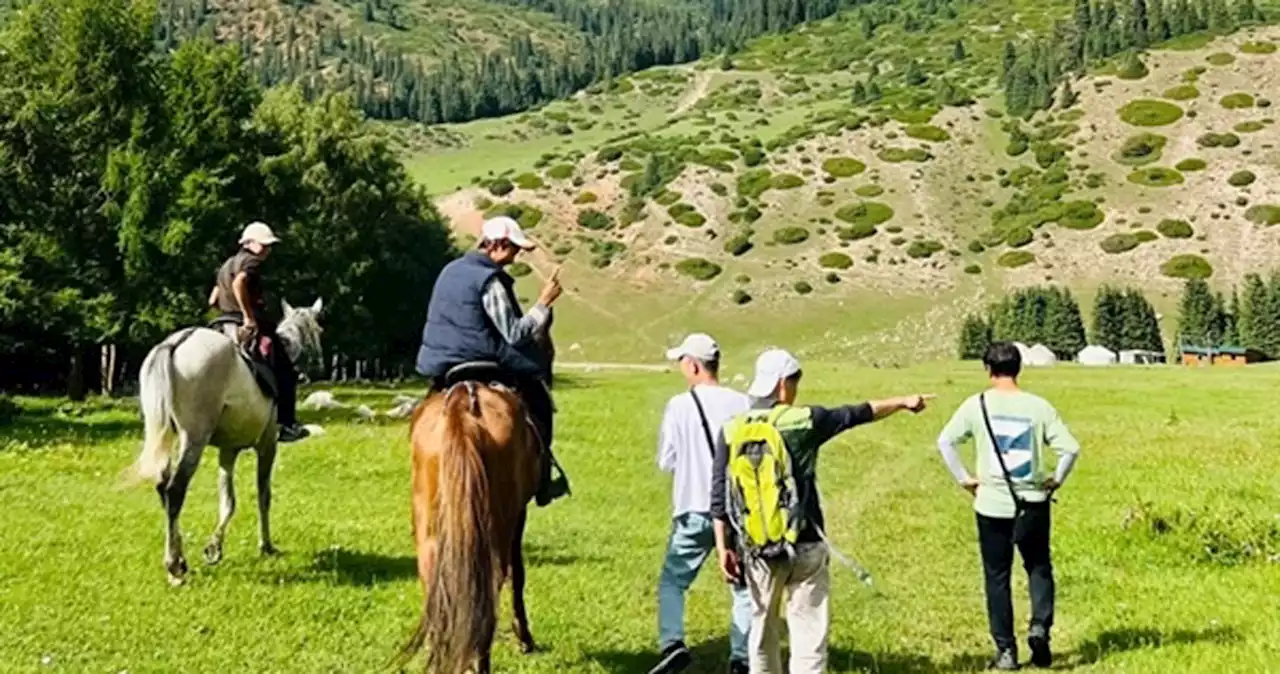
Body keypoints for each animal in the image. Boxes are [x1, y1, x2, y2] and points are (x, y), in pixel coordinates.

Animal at [127, 299, 325, 585]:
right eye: (319, 329)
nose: (320, 366)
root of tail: (175, 344)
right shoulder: (268, 445)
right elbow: (263, 495)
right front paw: (266, 545)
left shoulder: (228, 451)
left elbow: (227, 501)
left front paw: (214, 548)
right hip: (193, 439)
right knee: (175, 491)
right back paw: (174, 567)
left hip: (166, 436)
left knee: (163, 488)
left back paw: (181, 559)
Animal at [399, 378, 540, 674]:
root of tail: (462, 402)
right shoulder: (519, 516)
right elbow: (518, 574)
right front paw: (524, 637)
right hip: (498, 530)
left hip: (430, 532)